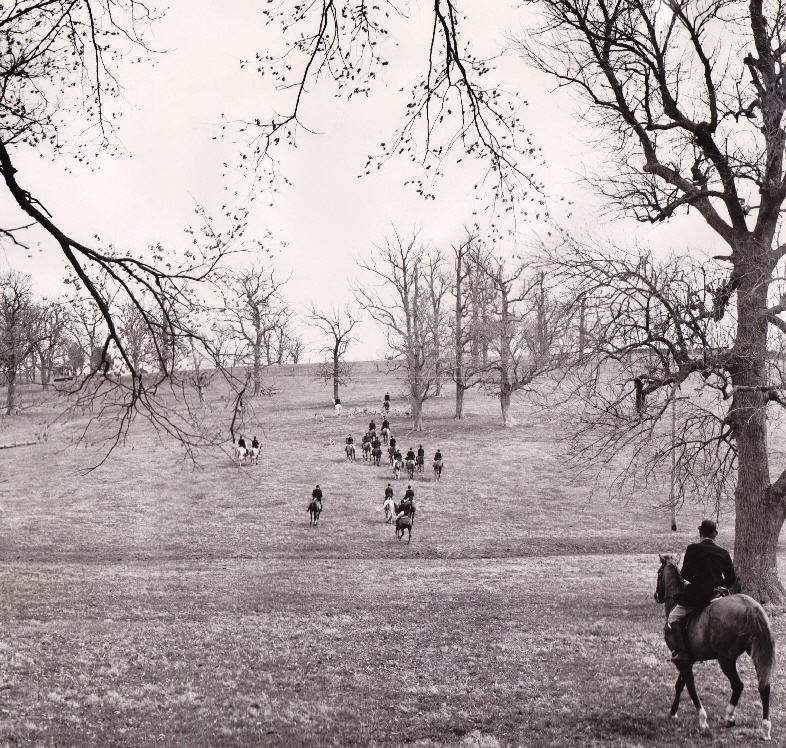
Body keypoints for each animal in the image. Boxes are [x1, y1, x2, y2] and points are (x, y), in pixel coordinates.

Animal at [652, 552, 776, 740]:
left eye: (659, 572)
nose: (656, 596)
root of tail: (750, 606)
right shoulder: (688, 659)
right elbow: (680, 685)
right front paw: (673, 712)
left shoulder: (682, 660)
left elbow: (690, 686)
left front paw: (702, 719)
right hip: (757, 652)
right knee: (764, 686)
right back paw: (765, 728)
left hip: (725, 659)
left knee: (738, 685)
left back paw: (729, 717)